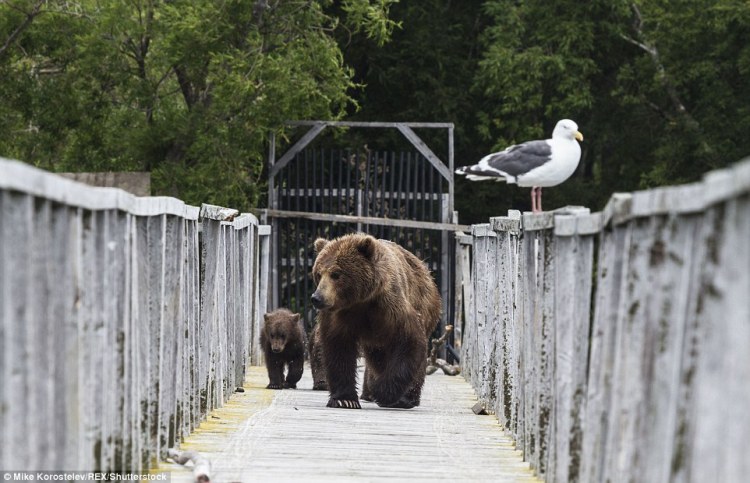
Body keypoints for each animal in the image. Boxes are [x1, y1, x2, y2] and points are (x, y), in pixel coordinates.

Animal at [311, 233, 441, 409]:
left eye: (336, 274)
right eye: (318, 273)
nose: (317, 298)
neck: (361, 301)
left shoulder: (390, 307)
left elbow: (409, 340)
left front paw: (383, 392)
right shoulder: (339, 315)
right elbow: (338, 349)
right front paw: (345, 400)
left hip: (424, 305)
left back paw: (407, 398)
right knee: (378, 358)